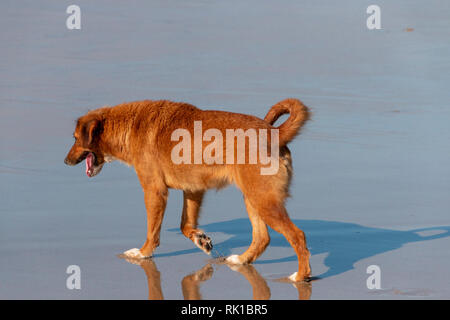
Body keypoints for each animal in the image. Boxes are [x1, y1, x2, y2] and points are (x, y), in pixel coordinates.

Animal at [65, 99, 312, 282]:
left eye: (76, 139)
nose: (66, 161)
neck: (129, 124)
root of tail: (274, 133)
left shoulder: (154, 191)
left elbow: (152, 231)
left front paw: (143, 253)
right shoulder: (193, 190)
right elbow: (185, 225)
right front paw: (201, 239)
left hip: (264, 201)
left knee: (297, 235)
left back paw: (301, 276)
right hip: (253, 199)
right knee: (262, 237)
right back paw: (241, 260)